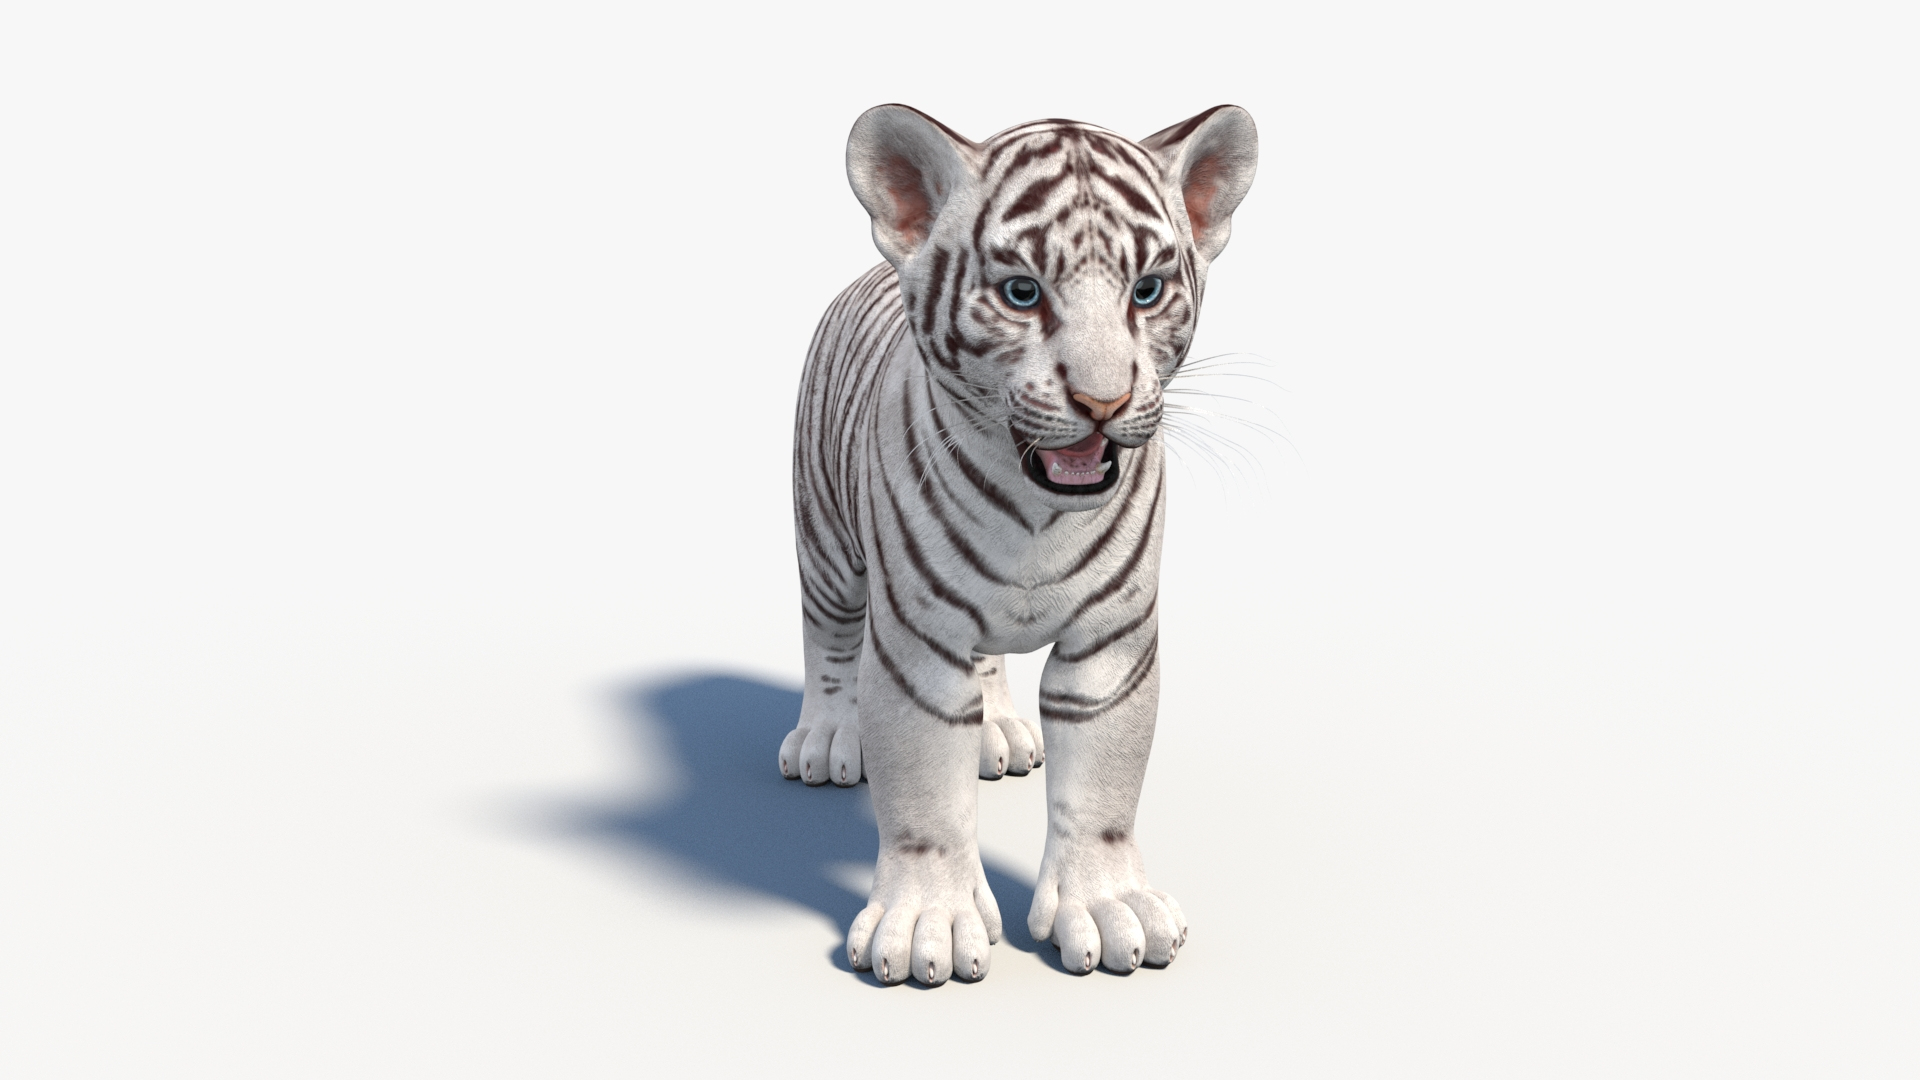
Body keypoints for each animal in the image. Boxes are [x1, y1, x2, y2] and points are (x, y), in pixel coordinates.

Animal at [778, 104, 1258, 986]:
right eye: (1021, 293)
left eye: (1147, 290)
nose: (1104, 402)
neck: (1036, 513)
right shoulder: (917, 643)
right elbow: (923, 795)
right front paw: (926, 926)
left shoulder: (1111, 643)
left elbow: (1102, 790)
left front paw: (1108, 910)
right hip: (824, 537)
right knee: (825, 635)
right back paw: (827, 739)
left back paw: (996, 732)